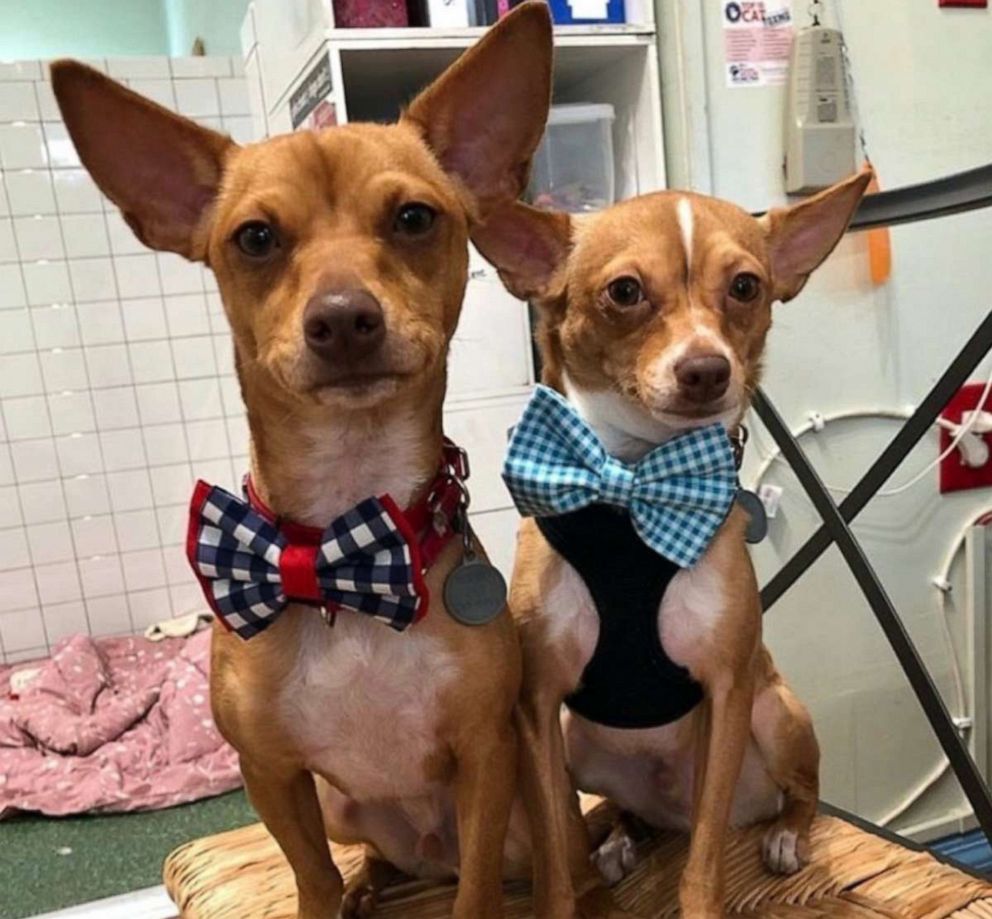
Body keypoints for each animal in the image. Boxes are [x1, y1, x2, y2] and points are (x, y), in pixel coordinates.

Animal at [54, 3, 564, 916]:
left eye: (414, 219)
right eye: (255, 238)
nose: (342, 317)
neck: (340, 544)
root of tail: (423, 848)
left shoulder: (485, 754)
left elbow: (475, 892)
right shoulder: (273, 776)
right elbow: (311, 878)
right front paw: (333, 894)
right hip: (343, 805)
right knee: (373, 860)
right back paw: (372, 882)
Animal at [476, 169, 872, 916]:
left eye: (745, 286)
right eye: (624, 291)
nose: (707, 368)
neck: (635, 485)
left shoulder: (727, 688)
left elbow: (705, 862)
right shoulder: (537, 710)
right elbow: (556, 851)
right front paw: (574, 882)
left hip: (775, 713)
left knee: (797, 795)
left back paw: (784, 836)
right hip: (579, 744)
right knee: (618, 815)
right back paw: (621, 839)